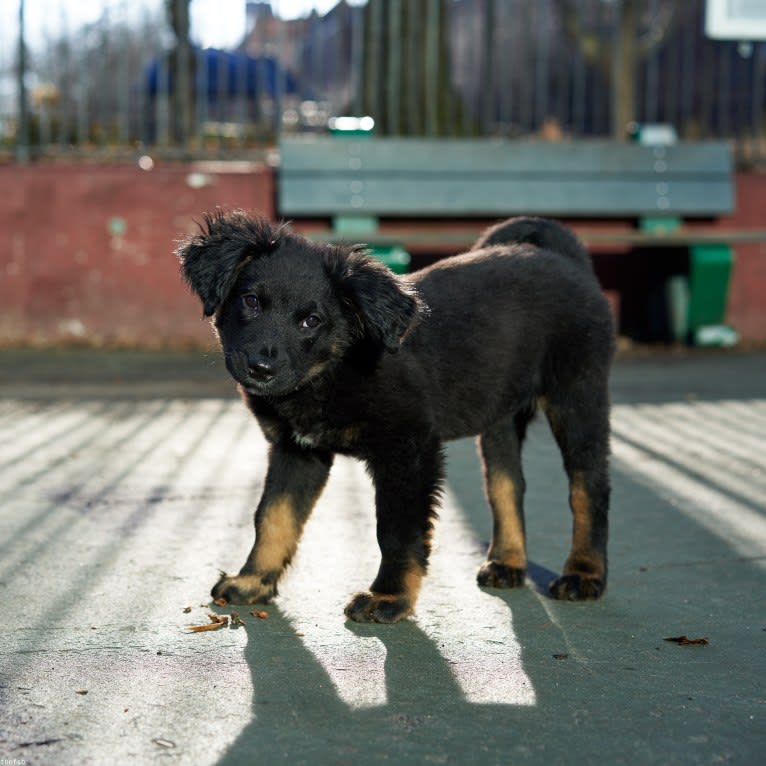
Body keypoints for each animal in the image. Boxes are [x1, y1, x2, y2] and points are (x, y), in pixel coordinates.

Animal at [177, 212, 616, 624]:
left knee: (588, 489)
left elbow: (396, 529)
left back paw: (583, 575)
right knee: (507, 485)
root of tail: (566, 260)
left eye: (311, 321)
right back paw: (507, 563)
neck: (335, 368)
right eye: (251, 301)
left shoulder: (409, 449)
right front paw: (253, 580)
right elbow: (272, 516)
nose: (261, 367)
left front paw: (389, 598)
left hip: (578, 398)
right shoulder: (296, 450)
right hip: (500, 416)